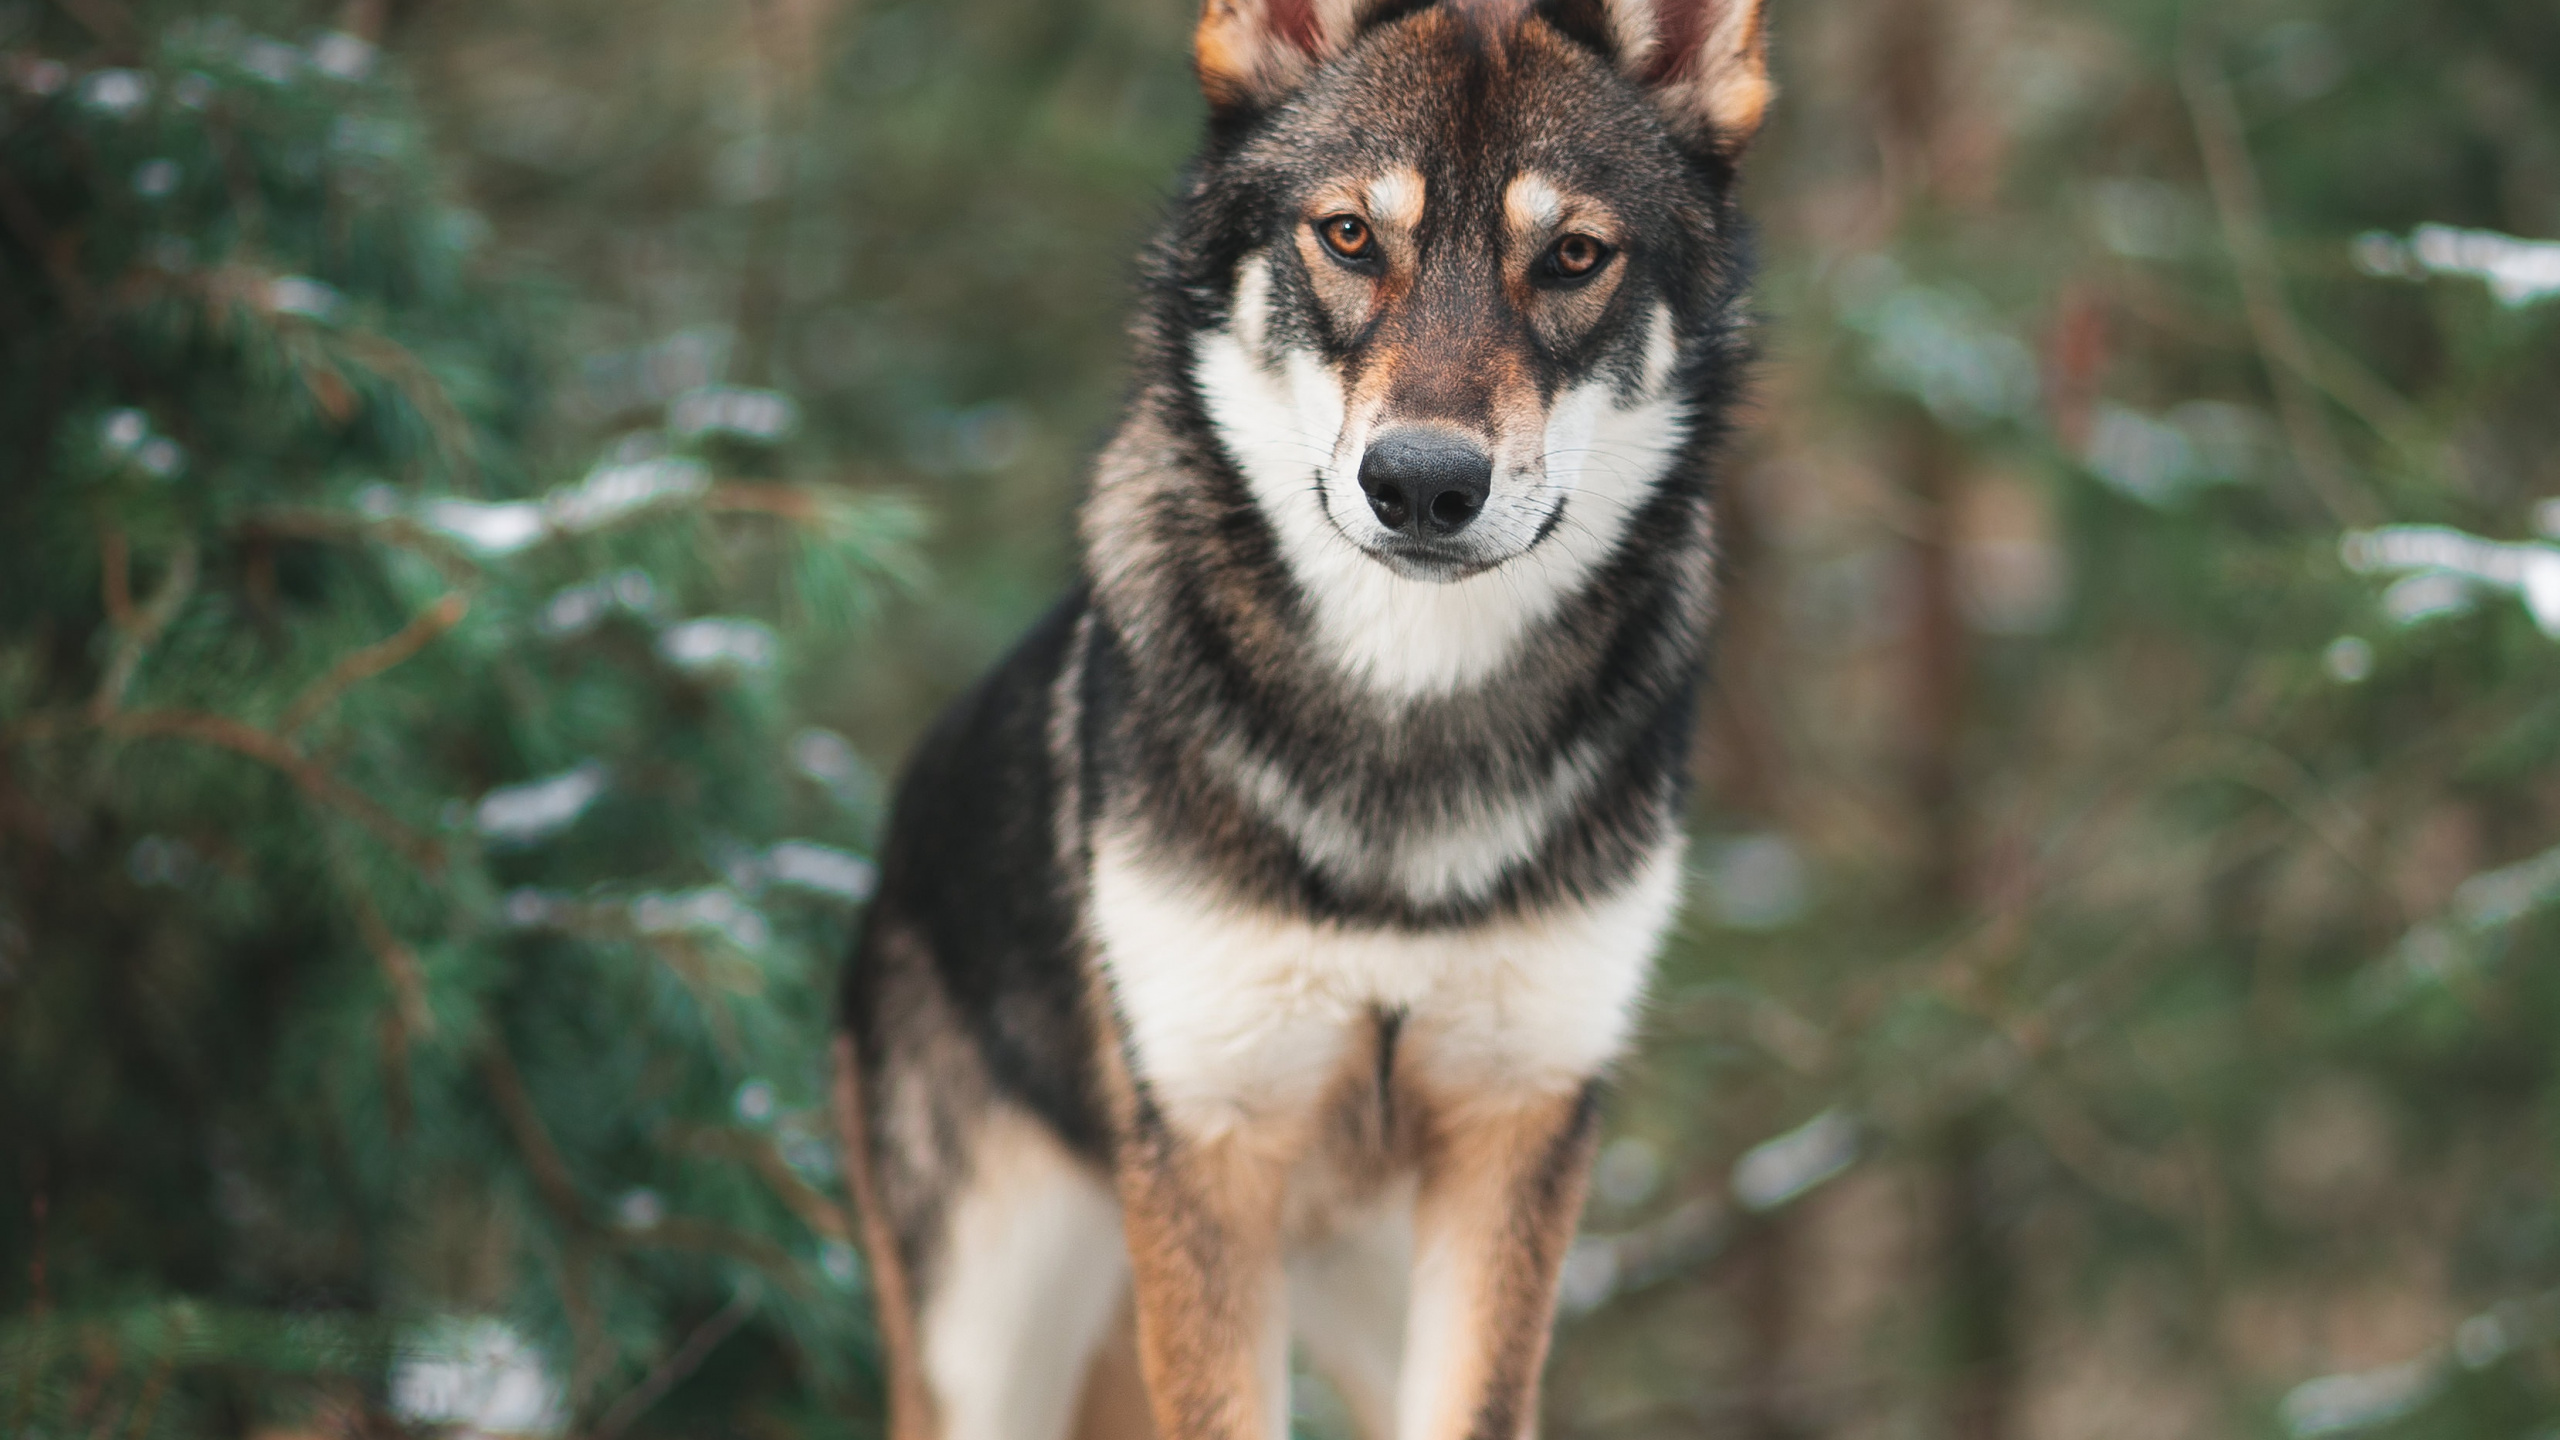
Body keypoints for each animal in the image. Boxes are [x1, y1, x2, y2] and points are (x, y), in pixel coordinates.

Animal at [829, 5, 1771, 1424]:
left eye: (1571, 257)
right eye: (1348, 237)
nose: (1423, 483)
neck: (1404, 725)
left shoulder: (1519, 1132)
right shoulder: (1211, 1146)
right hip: (988, 1344)